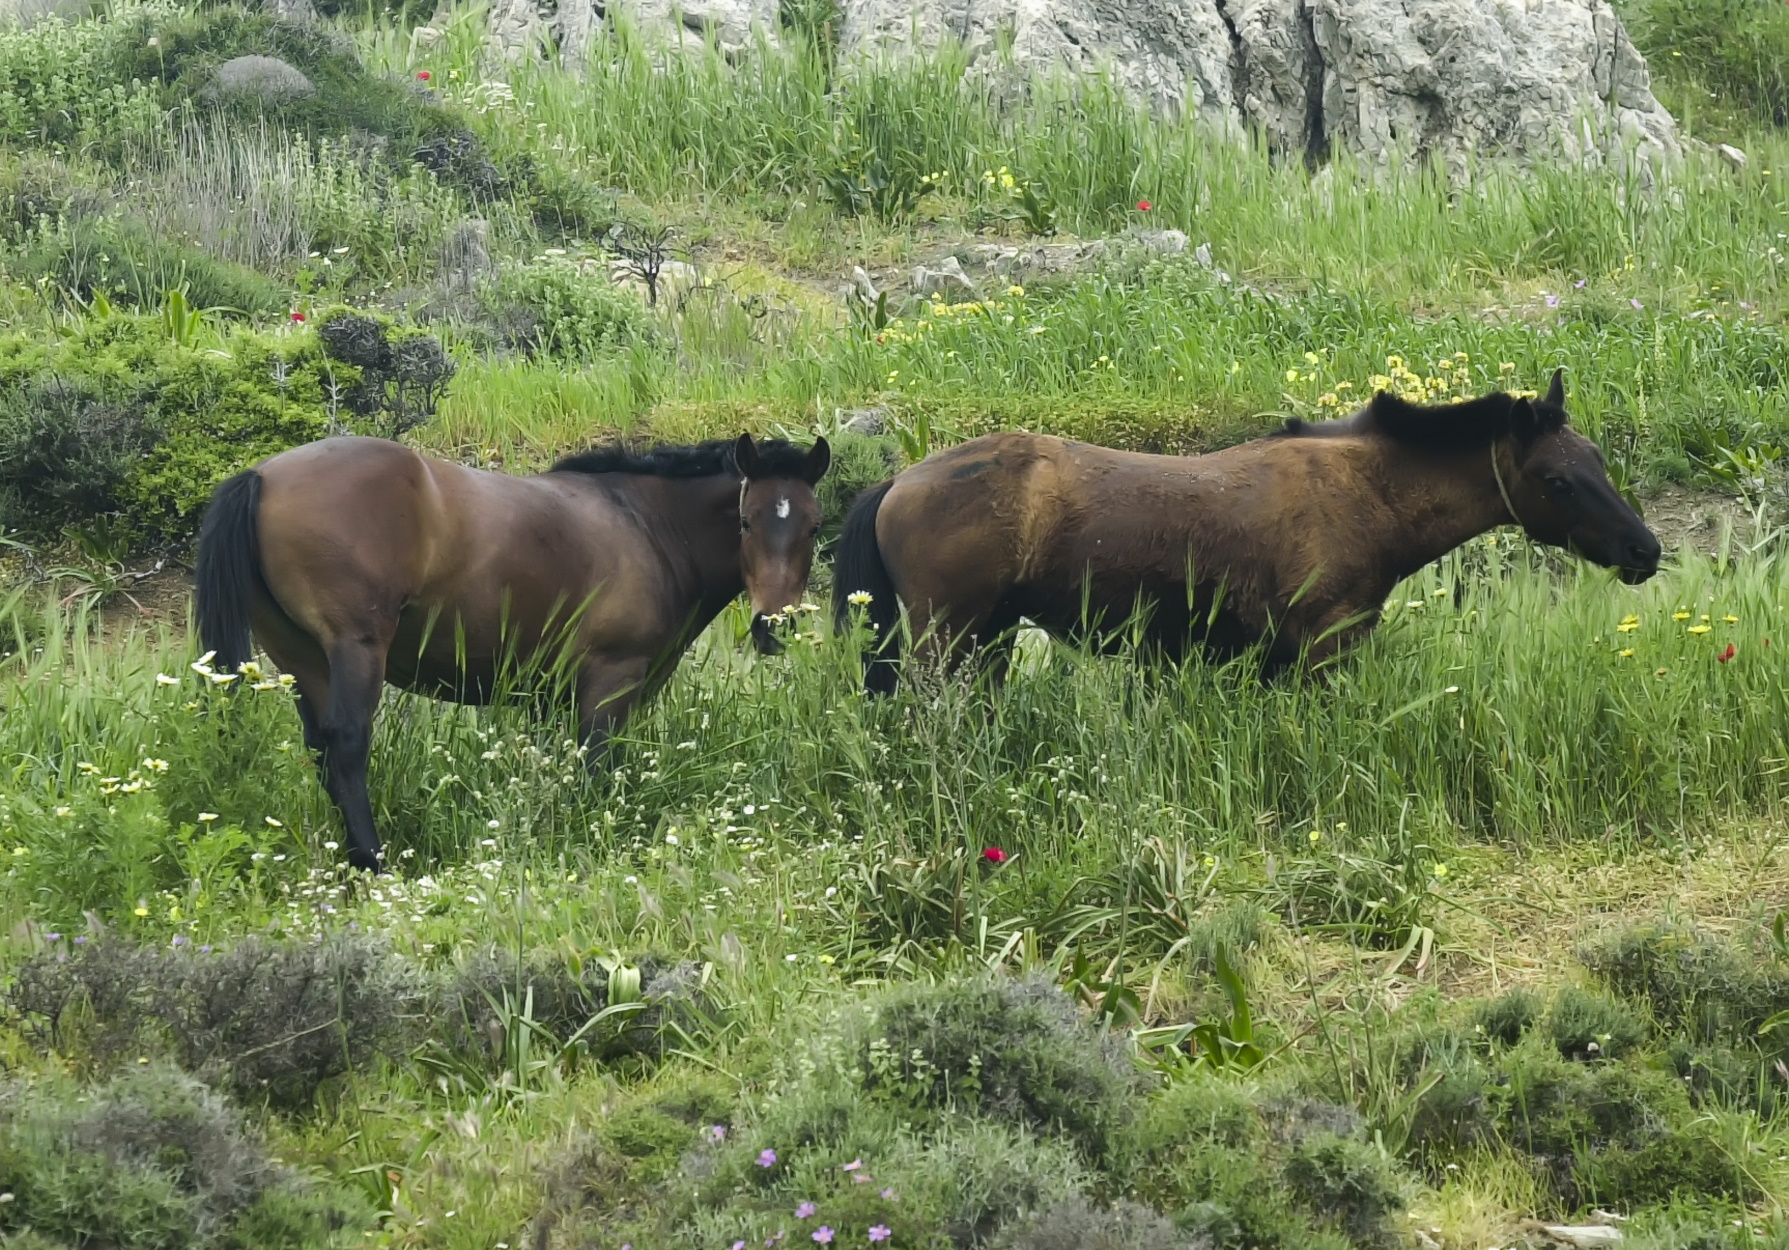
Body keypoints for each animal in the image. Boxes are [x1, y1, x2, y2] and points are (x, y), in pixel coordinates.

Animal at [197, 434, 830, 876]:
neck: (645, 524)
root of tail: (262, 475)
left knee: (323, 755)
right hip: (355, 652)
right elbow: (595, 771)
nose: (773, 626)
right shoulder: (611, 683)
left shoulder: (549, 697)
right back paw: (375, 863)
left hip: (304, 662)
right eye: (746, 521)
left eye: (814, 528)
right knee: (347, 748)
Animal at [837, 371, 1660, 701]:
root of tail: (898, 482)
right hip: (946, 637)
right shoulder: (1326, 646)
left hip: (992, 636)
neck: (1368, 491)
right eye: (1557, 480)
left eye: (1596, 459)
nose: (1643, 550)